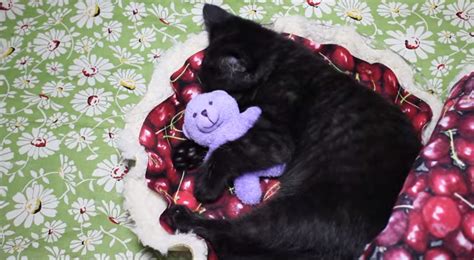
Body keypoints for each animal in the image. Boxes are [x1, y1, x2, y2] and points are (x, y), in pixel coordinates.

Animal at [165, 4, 420, 260]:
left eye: (223, 94)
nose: (209, 106)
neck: (278, 64)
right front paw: (187, 152)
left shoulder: (275, 138)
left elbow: (229, 147)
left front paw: (207, 181)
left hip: (296, 213)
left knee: (234, 238)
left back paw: (182, 217)